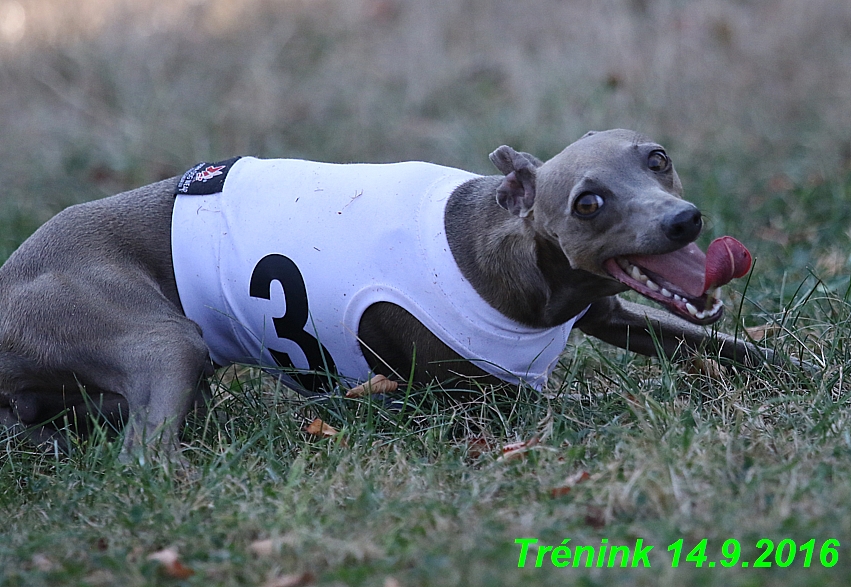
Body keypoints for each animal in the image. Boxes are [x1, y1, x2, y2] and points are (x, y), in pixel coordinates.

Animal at [0, 129, 764, 452]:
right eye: (588, 202)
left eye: (657, 158)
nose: (684, 221)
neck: (486, 244)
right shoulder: (474, 400)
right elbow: (574, 403)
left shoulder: (605, 310)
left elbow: (737, 350)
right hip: (166, 342)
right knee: (142, 458)